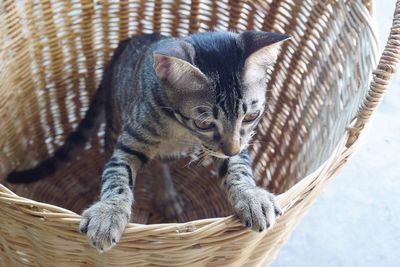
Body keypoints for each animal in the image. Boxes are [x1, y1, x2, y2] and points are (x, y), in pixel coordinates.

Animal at [6, 30, 290, 252]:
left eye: (251, 116)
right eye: (204, 123)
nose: (231, 149)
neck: (181, 131)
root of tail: (129, 40)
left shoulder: (237, 145)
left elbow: (238, 169)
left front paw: (252, 197)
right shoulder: (128, 144)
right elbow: (117, 176)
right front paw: (108, 213)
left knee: (160, 162)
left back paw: (166, 195)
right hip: (115, 121)